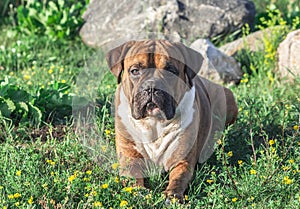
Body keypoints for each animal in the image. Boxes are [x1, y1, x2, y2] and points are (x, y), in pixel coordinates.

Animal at [105, 39, 237, 201]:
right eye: (135, 71)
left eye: (171, 71)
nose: (151, 86)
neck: (154, 124)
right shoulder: (129, 158)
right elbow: (133, 178)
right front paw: (138, 191)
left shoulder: (182, 161)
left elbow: (178, 178)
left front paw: (172, 195)